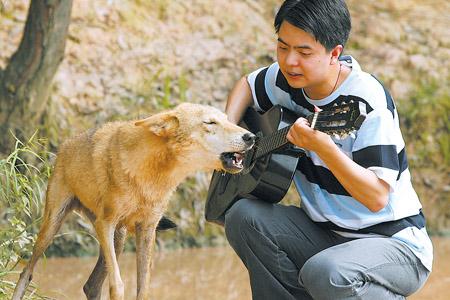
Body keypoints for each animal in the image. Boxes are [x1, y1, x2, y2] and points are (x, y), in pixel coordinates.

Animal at [12, 103, 255, 300]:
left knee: (91, 285)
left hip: (117, 238)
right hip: (53, 228)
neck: (151, 176)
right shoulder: (106, 223)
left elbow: (143, 286)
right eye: (210, 122)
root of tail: (65, 144)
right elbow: (118, 285)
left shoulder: (147, 229)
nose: (251, 137)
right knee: (26, 272)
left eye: (228, 120)